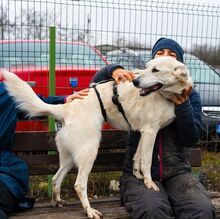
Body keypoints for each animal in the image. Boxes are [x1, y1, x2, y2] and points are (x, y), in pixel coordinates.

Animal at [3, 57, 192, 219]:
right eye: (146, 68)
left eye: (155, 70)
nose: (135, 82)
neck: (166, 95)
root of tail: (65, 108)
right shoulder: (150, 131)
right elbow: (146, 162)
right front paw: (149, 183)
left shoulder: (143, 133)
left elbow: (137, 157)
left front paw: (138, 175)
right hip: (90, 151)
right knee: (79, 185)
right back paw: (89, 211)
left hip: (71, 157)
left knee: (56, 179)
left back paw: (57, 201)